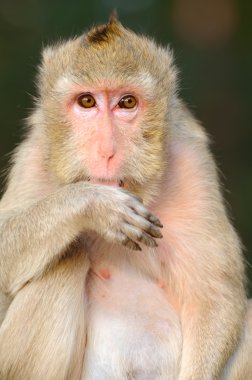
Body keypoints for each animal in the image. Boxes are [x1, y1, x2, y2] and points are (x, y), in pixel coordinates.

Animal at [0, 12, 250, 380]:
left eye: (127, 103)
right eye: (87, 101)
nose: (107, 150)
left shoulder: (191, 158)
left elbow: (214, 296)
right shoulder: (34, 155)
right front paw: (92, 205)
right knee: (68, 260)